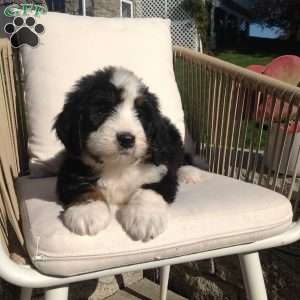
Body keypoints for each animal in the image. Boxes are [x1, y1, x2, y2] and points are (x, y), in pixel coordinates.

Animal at [54, 66, 184, 241]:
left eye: (140, 115)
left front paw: (145, 217)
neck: (117, 166)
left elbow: (150, 189)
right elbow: (81, 187)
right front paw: (87, 211)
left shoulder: (162, 168)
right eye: (102, 110)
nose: (127, 139)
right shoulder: (71, 168)